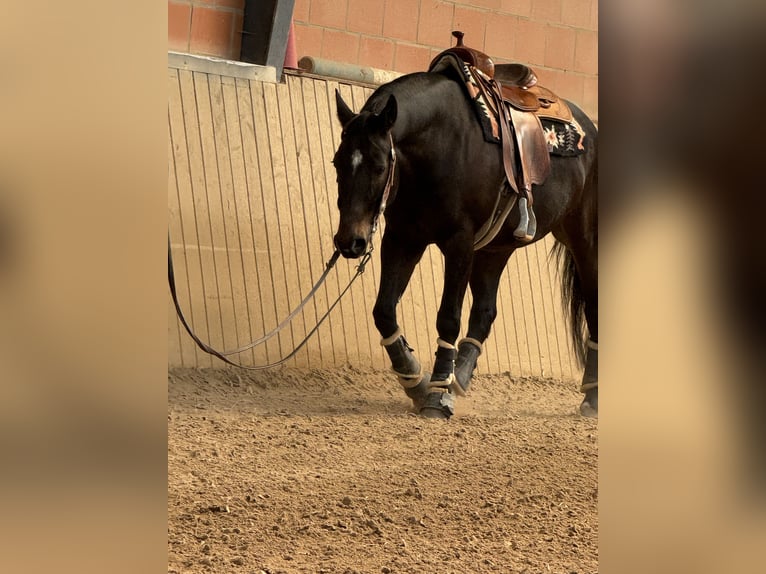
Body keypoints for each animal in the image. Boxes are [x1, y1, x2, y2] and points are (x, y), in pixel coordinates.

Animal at [331, 69, 598, 419]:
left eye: (378, 167)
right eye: (337, 163)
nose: (350, 242)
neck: (439, 145)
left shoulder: (460, 243)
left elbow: (448, 317)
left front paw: (437, 395)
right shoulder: (403, 237)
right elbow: (384, 311)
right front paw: (415, 379)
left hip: (584, 239)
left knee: (593, 304)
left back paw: (592, 396)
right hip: (496, 249)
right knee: (484, 312)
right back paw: (459, 377)